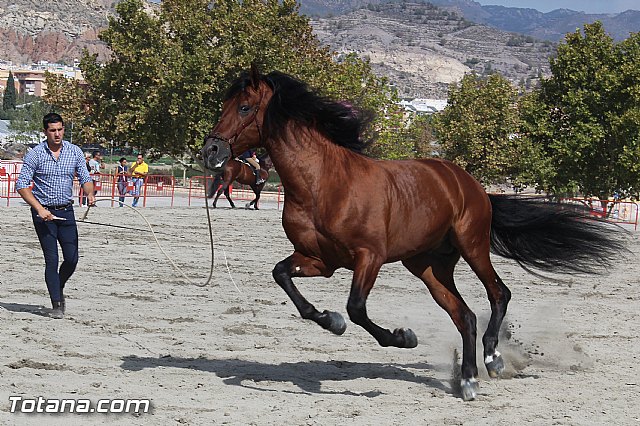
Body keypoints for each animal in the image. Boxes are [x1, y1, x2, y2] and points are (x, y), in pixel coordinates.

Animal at [201, 66, 626, 401]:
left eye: (244, 107)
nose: (210, 152)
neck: (323, 184)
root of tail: (467, 182)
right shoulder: (319, 261)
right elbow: (284, 279)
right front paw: (330, 320)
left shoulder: (368, 257)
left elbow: (357, 308)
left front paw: (402, 337)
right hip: (428, 266)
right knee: (465, 315)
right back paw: (467, 380)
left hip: (473, 247)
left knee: (498, 294)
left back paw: (492, 359)